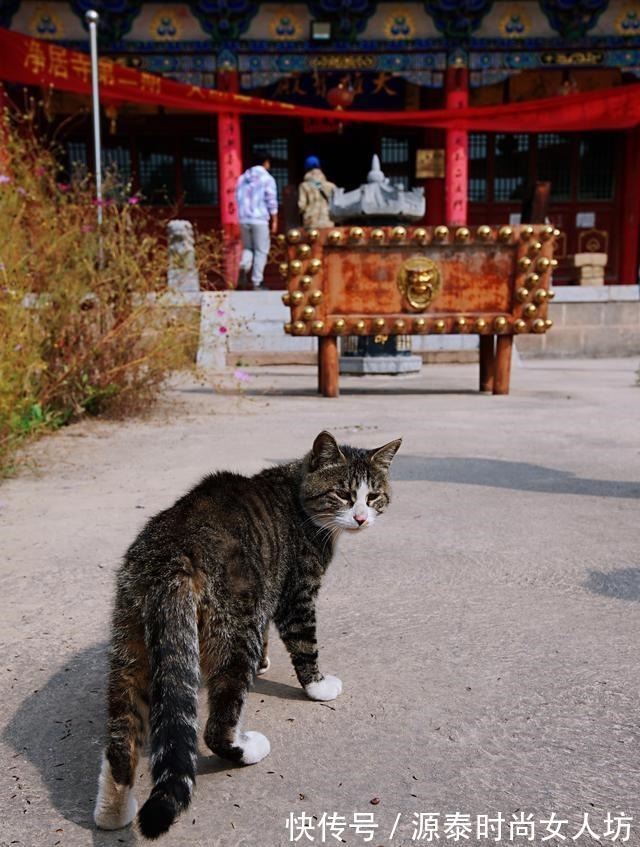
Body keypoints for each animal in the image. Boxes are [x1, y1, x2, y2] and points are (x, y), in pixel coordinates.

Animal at [92, 430, 400, 840]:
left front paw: (269, 662)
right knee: (215, 728)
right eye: (344, 494)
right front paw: (319, 686)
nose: (362, 518)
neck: (296, 492)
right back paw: (250, 748)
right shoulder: (295, 594)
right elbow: (305, 645)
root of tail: (173, 555)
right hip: (238, 629)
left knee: (121, 736)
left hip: (131, 640)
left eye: (374, 496)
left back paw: (113, 812)